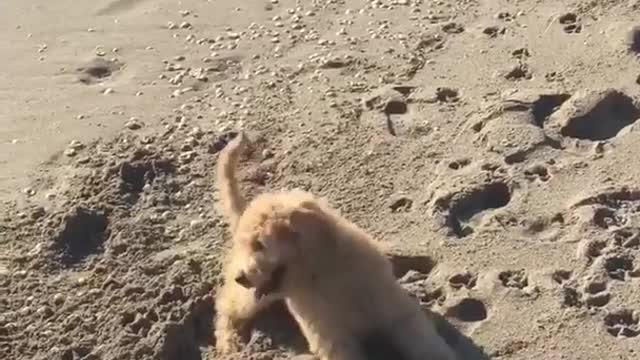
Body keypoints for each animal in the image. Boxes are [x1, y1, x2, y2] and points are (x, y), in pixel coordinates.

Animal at [214, 132, 456, 360]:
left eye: (259, 244)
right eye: (249, 246)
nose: (240, 277)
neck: (323, 273)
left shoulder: (396, 310)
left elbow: (425, 342)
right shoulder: (332, 338)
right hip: (250, 299)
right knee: (225, 306)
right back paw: (229, 344)